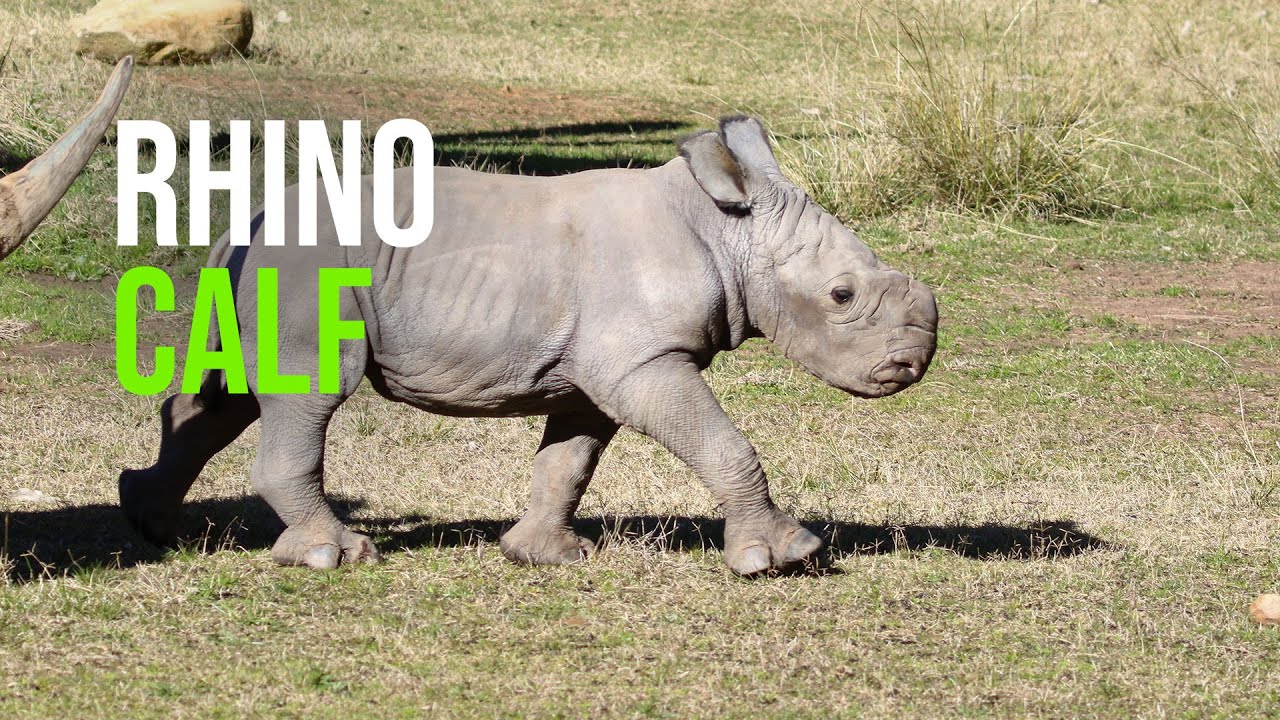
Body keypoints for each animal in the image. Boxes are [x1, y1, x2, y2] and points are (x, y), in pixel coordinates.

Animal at [119, 115, 938, 575]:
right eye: (842, 297)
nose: (912, 364)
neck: (725, 227)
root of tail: (245, 225)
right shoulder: (645, 359)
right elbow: (723, 443)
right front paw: (784, 558)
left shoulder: (602, 367)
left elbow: (568, 462)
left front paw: (546, 556)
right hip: (305, 271)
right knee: (308, 391)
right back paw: (335, 557)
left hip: (265, 275)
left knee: (226, 399)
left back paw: (155, 527)